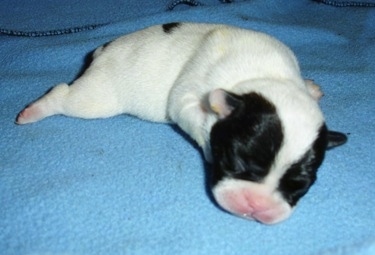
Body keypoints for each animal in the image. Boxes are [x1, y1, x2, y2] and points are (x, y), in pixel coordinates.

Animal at [16, 22, 348, 224]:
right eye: (235, 163)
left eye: (301, 185)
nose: (255, 206)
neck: (266, 78)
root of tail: (103, 50)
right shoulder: (188, 96)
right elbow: (188, 111)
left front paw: (311, 88)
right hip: (99, 96)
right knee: (65, 95)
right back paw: (37, 109)